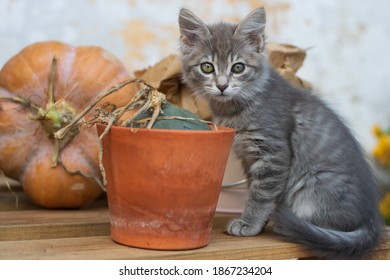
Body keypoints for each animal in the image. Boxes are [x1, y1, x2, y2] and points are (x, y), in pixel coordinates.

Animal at [178, 7, 382, 260]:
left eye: (238, 68)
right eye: (207, 67)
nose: (222, 86)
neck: (236, 108)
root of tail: (371, 220)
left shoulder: (273, 153)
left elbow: (261, 194)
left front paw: (249, 223)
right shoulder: (248, 156)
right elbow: (255, 190)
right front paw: (258, 222)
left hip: (315, 184)